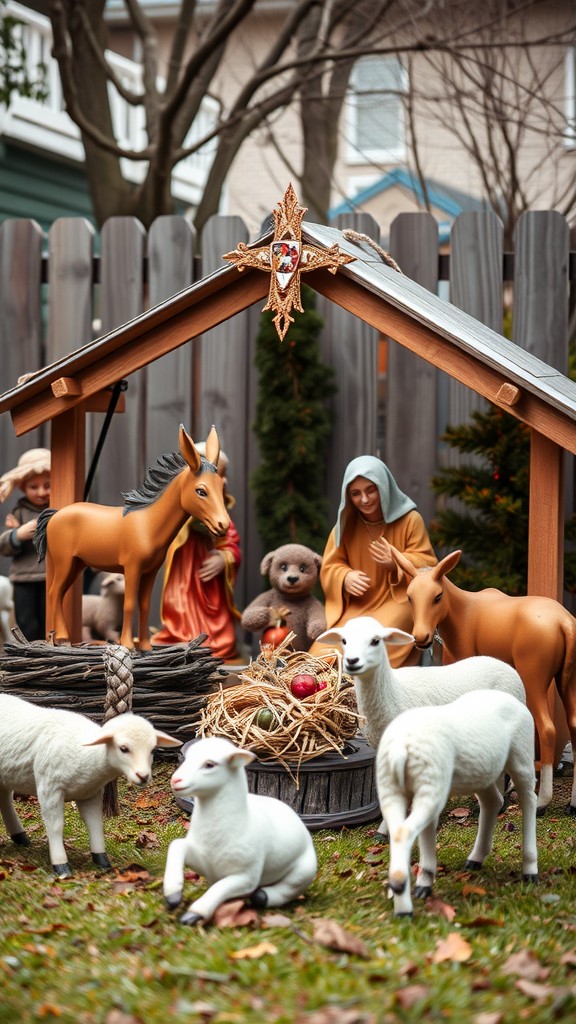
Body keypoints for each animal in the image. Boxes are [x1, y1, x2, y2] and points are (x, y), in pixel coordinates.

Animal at [0, 692, 179, 876]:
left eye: (152, 750)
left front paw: (102, 861)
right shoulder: (49, 788)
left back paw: (19, 836)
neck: (87, 754)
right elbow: (55, 826)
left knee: (4, 798)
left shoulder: (90, 794)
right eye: (123, 748)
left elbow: (95, 824)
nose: (143, 776)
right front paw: (61, 866)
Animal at [162, 737, 317, 929]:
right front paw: (173, 894)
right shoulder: (201, 860)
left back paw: (262, 896)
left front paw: (194, 914)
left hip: (304, 872)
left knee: (286, 889)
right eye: (188, 757)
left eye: (209, 764)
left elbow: (219, 888)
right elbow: (176, 846)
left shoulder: (246, 877)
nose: (176, 780)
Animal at [375, 688, 537, 921]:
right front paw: (422, 884)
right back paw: (474, 860)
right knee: (493, 801)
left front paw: (418, 886)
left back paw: (530, 870)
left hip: (520, 757)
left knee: (529, 799)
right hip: (474, 774)